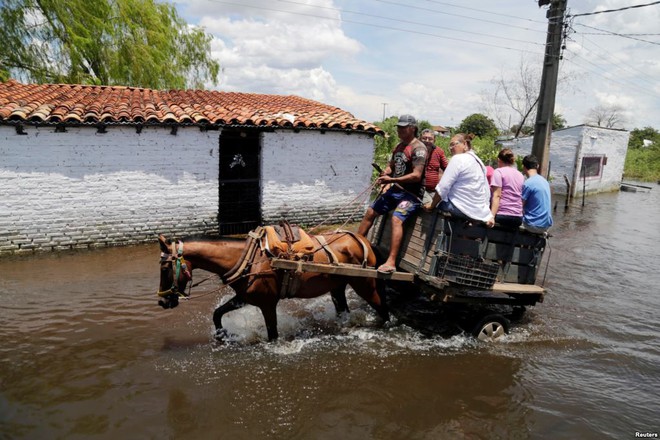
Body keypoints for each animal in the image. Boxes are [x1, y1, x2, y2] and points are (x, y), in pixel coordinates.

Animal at [157, 230, 390, 340]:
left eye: (165, 268)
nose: (162, 302)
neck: (248, 259)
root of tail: (362, 240)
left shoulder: (267, 304)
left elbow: (273, 334)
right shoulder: (244, 298)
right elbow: (217, 313)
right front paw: (223, 335)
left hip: (365, 284)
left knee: (382, 307)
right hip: (338, 287)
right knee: (343, 309)